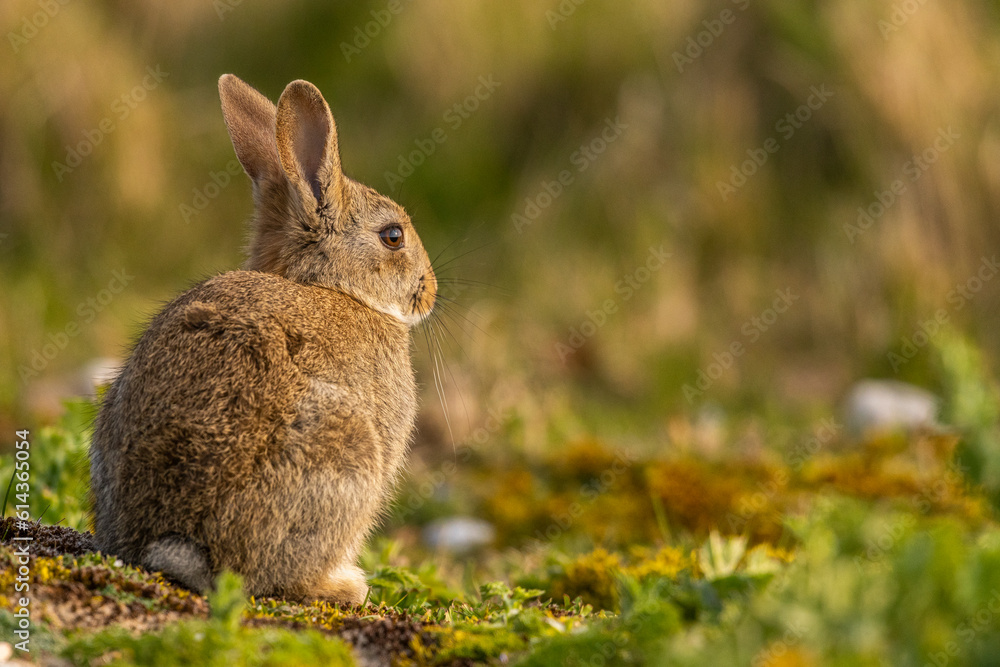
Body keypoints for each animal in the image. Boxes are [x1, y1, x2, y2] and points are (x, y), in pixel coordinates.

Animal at [89, 74, 437, 605]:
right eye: (393, 236)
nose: (430, 292)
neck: (335, 286)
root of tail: (181, 543)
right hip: (344, 451)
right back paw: (345, 586)